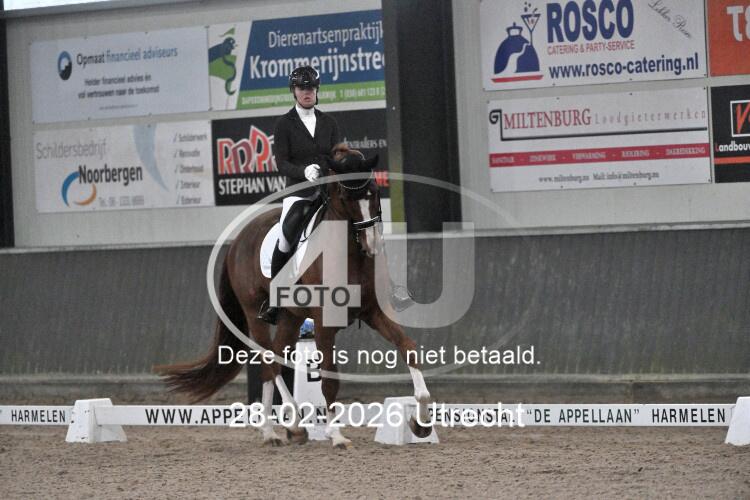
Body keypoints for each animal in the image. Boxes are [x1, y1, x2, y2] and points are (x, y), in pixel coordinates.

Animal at [156, 144, 433, 448]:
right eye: (346, 197)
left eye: (372, 191)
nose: (371, 244)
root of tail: (237, 240)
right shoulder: (323, 324)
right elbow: (329, 380)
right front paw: (336, 435)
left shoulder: (373, 312)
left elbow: (408, 347)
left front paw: (420, 423)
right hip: (255, 313)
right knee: (268, 361)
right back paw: (279, 428)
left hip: (291, 317)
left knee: (275, 360)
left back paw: (287, 428)